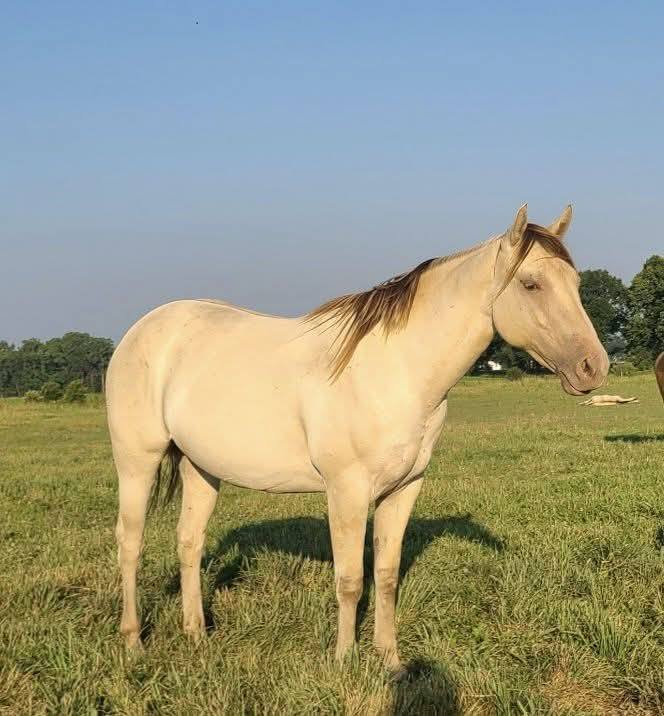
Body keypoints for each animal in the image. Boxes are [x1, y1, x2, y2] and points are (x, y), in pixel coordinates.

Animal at [106, 204, 608, 671]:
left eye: (575, 283)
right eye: (531, 284)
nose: (594, 366)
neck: (397, 369)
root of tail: (142, 330)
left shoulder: (403, 489)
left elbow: (385, 575)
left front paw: (390, 660)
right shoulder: (346, 491)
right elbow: (349, 580)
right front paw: (344, 661)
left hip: (201, 468)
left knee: (189, 543)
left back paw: (196, 635)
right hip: (137, 462)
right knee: (130, 543)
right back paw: (132, 643)